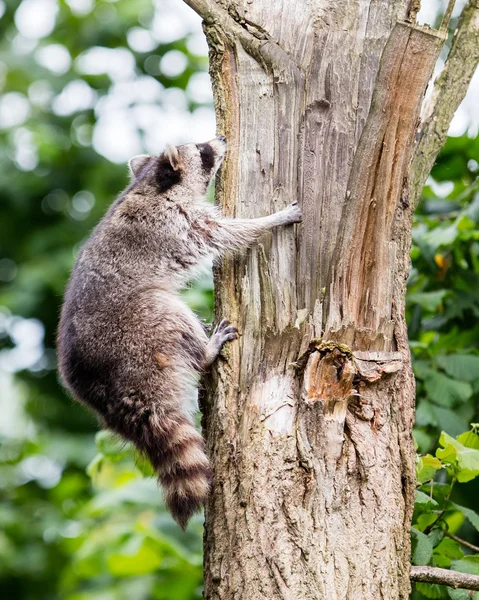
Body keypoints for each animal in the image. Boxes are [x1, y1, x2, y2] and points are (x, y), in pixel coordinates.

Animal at [57, 137, 304, 528]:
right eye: (202, 150)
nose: (221, 140)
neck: (152, 184)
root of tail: (104, 389)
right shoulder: (176, 225)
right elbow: (229, 234)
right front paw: (272, 219)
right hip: (138, 326)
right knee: (168, 310)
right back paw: (205, 352)